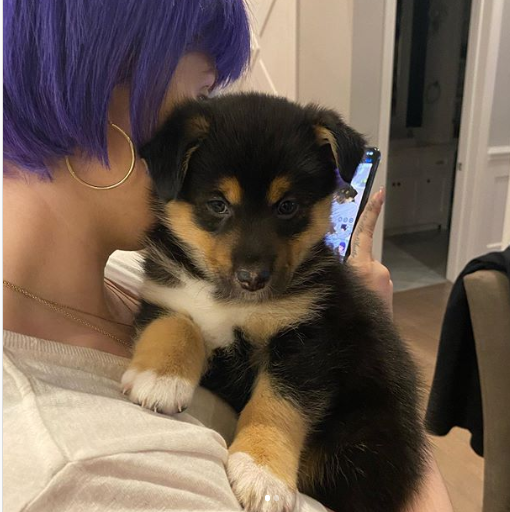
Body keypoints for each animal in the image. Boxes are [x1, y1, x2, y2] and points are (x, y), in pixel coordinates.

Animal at [121, 93, 428, 512]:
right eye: (218, 204)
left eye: (287, 206)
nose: (252, 279)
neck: (229, 300)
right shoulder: (163, 294)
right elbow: (179, 325)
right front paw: (161, 379)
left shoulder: (304, 342)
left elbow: (277, 408)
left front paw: (262, 472)